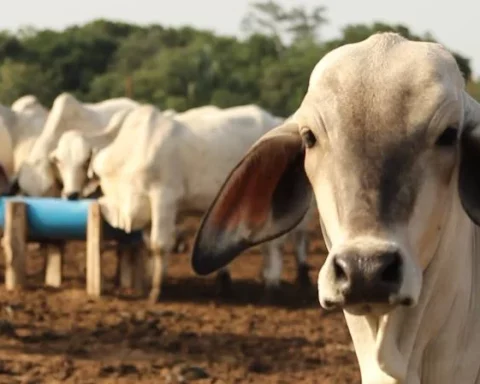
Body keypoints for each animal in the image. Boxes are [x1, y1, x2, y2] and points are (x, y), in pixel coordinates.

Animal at [91, 103, 316, 304]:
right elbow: (148, 246)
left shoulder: (164, 197)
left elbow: (158, 245)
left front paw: (156, 291)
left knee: (276, 245)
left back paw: (271, 287)